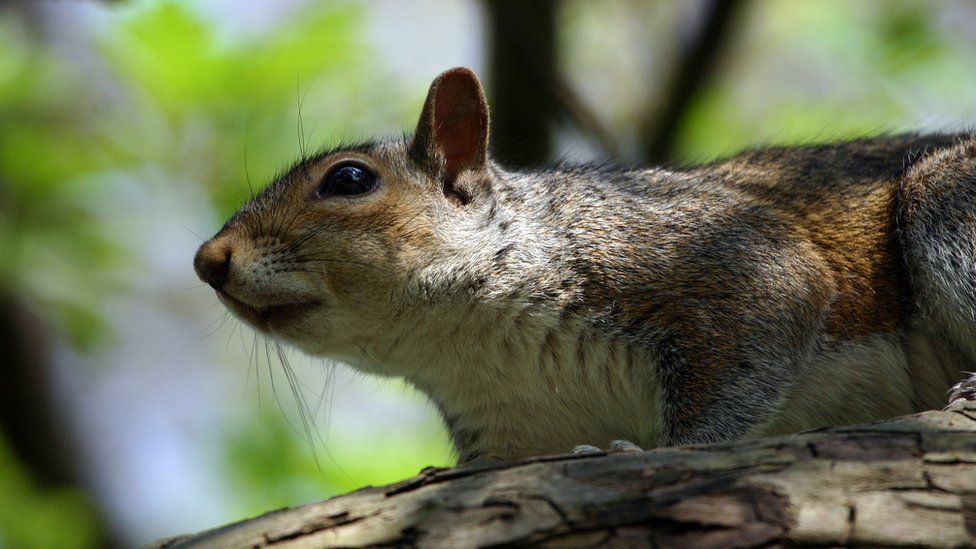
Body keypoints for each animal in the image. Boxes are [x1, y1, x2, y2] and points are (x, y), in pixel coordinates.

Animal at [196, 67, 976, 462]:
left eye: (350, 179)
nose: (208, 260)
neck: (474, 342)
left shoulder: (725, 260)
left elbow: (750, 349)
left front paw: (656, 451)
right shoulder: (507, 433)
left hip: (949, 200)